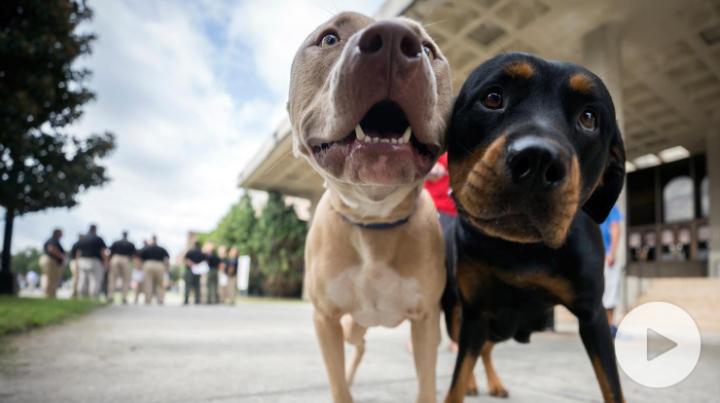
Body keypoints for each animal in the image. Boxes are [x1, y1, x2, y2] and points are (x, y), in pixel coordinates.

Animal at [286, 11, 450, 402]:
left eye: (428, 49)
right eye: (329, 38)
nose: (392, 39)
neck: (373, 218)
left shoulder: (426, 320)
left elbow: (426, 384)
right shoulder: (325, 318)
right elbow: (338, 386)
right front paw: (343, 384)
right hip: (350, 324)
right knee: (356, 346)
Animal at [438, 52, 624, 402]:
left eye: (589, 118)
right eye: (493, 98)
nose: (538, 161)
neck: (522, 250)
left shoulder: (593, 314)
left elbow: (612, 386)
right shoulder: (474, 312)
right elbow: (456, 379)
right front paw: (463, 384)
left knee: (485, 350)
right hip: (463, 314)